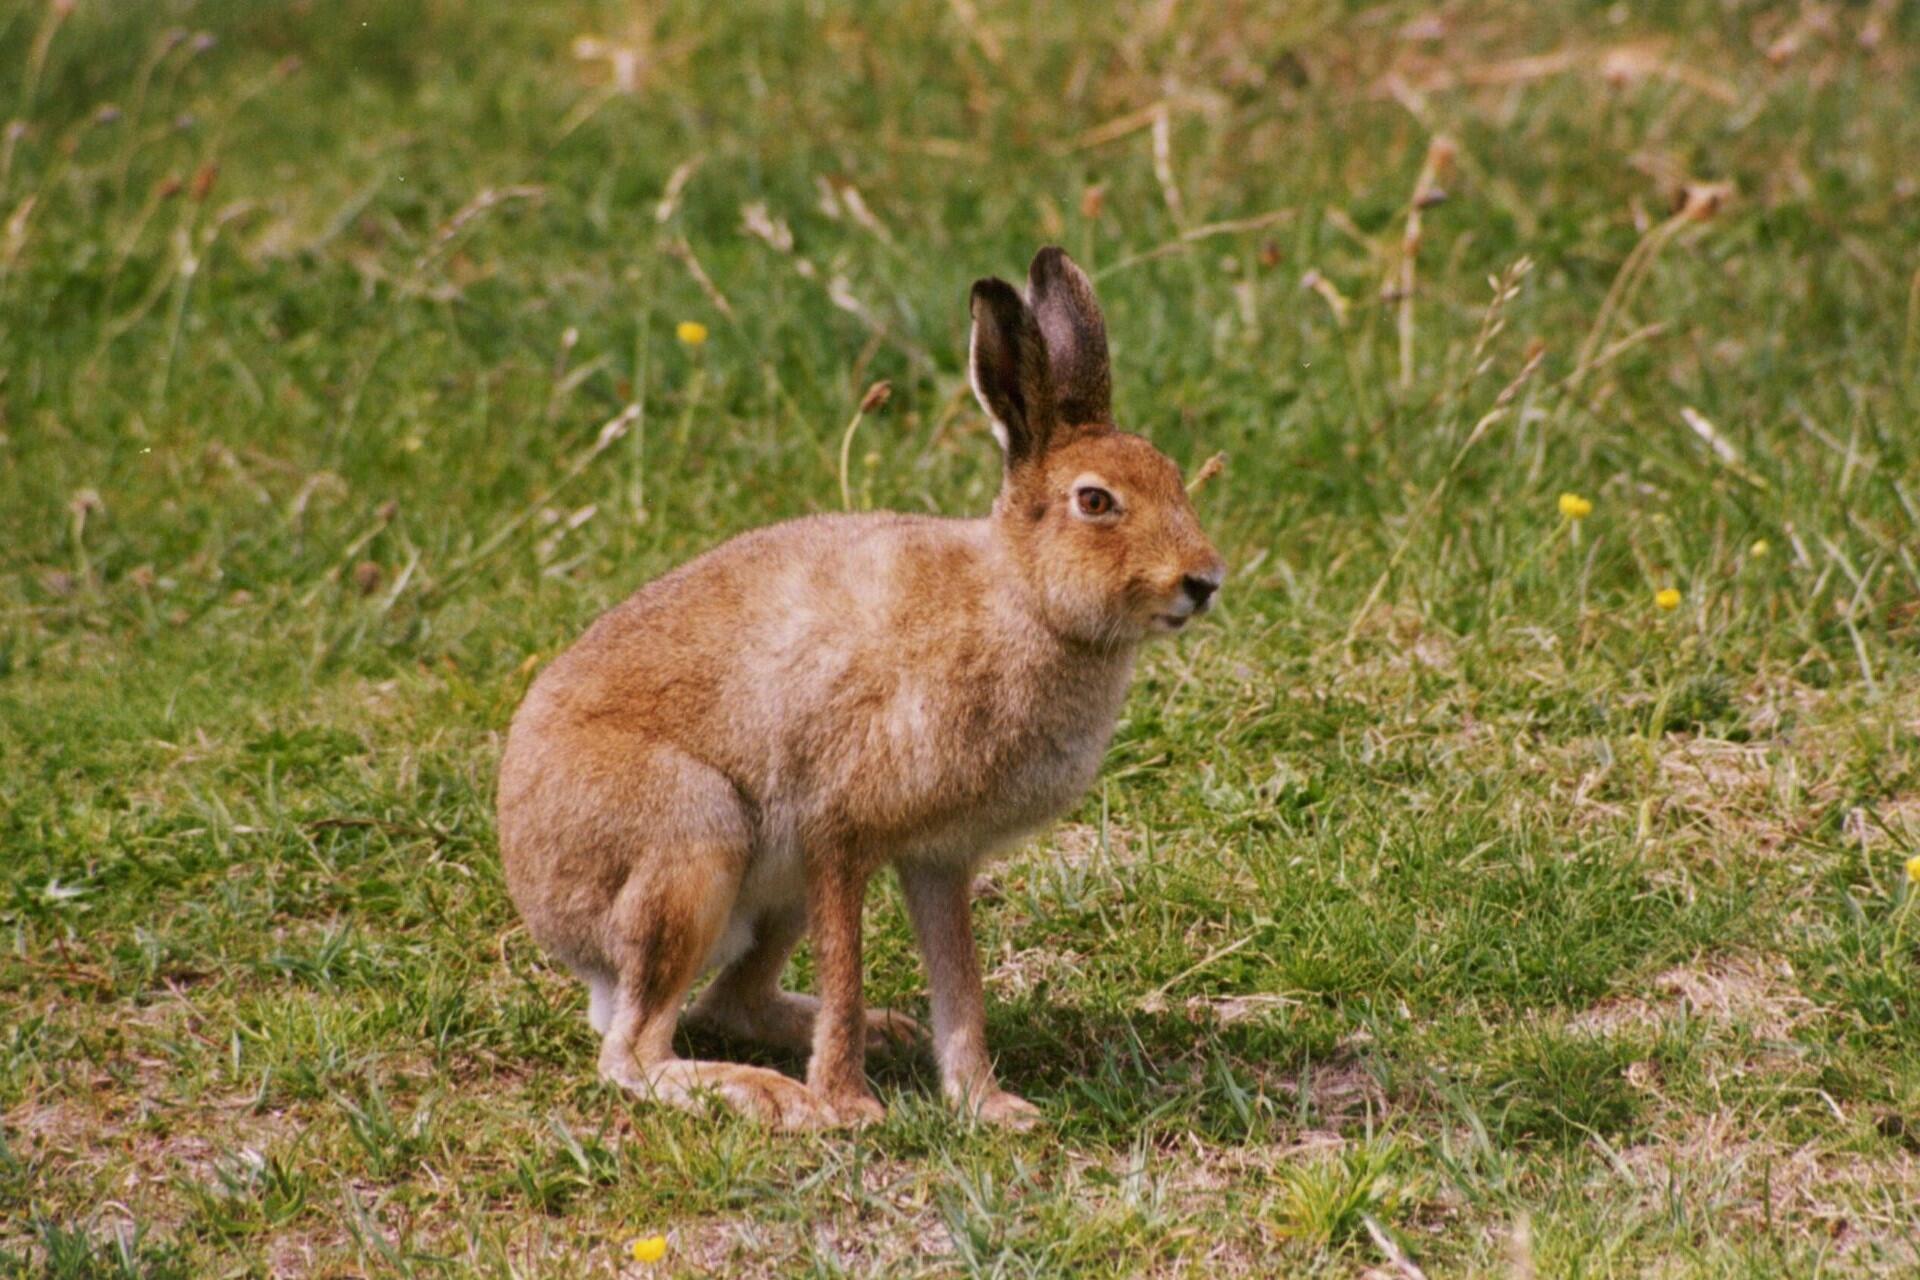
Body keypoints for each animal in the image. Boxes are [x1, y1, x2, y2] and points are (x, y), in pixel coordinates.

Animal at [497, 246, 1225, 1130]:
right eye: (1095, 501)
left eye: (1174, 477)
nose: (1204, 581)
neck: (1021, 599)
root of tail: (542, 904)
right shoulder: (838, 830)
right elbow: (848, 970)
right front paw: (848, 1108)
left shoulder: (939, 856)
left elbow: (961, 987)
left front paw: (990, 1106)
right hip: (696, 840)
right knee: (633, 1051)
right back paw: (772, 1095)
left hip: (772, 890)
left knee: (725, 1004)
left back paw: (884, 1033)